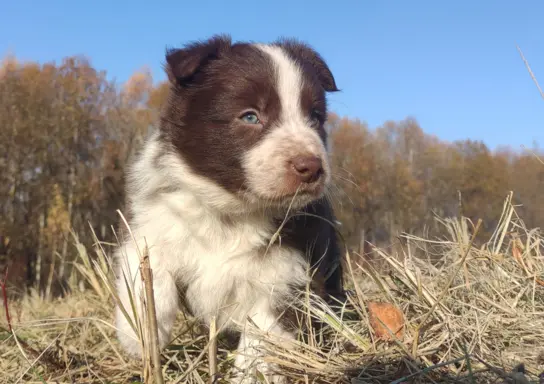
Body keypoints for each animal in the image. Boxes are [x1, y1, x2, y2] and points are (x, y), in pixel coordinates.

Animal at [113, 34, 344, 382]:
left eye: (315, 117)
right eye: (250, 116)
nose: (312, 167)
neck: (233, 210)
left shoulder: (288, 275)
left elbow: (263, 334)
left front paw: (252, 373)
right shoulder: (154, 218)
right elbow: (148, 270)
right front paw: (139, 335)